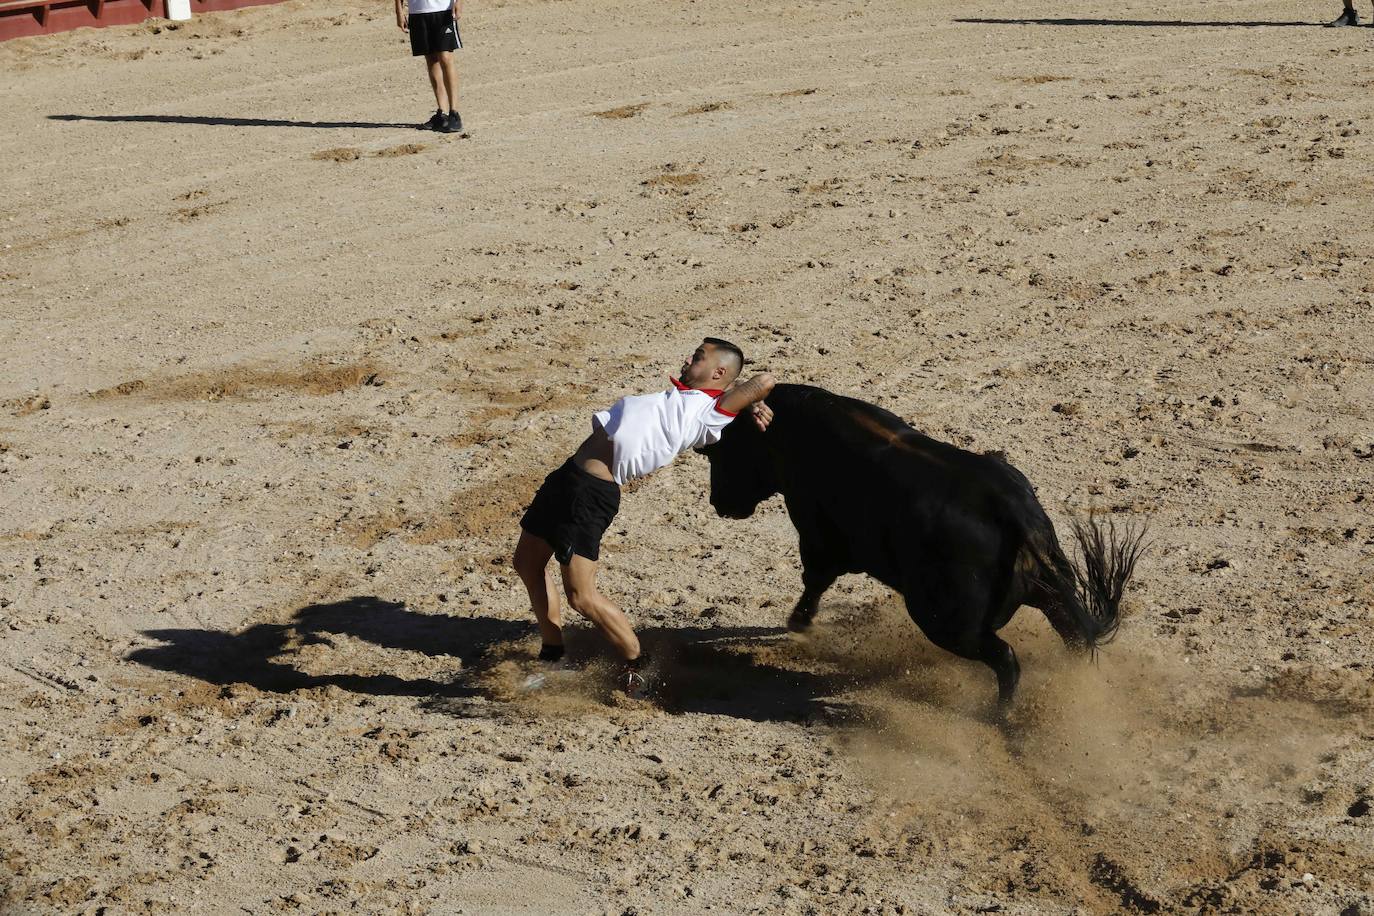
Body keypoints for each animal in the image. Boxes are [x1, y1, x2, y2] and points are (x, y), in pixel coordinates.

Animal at [703, 384, 1143, 708]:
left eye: (723, 449)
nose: (718, 503)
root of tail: (1011, 509)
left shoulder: (818, 537)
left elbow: (814, 581)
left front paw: (799, 626)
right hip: (1047, 592)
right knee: (1073, 638)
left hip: (948, 624)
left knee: (1006, 660)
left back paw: (998, 715)